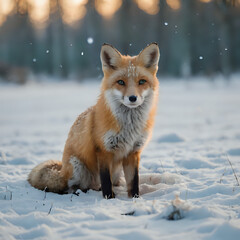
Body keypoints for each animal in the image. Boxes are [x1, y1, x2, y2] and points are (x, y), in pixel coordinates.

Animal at [28, 43, 159, 199]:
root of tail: (62, 170)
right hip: (78, 167)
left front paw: (135, 198)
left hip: (116, 172)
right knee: (71, 188)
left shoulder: (133, 152)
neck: (129, 125)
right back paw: (79, 192)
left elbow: (134, 182)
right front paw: (109, 198)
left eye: (142, 82)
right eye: (121, 82)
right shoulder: (103, 150)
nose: (132, 98)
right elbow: (106, 181)